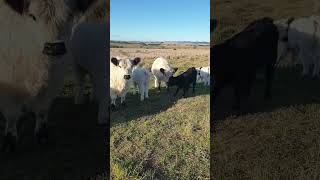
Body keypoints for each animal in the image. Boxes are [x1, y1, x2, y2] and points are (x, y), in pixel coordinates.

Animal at [0, 0, 96, 151]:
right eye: (32, 16)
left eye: (69, 16)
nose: (54, 48)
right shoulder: (8, 89)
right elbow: (11, 115)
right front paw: (9, 141)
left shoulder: (53, 82)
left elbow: (42, 110)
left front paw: (42, 135)